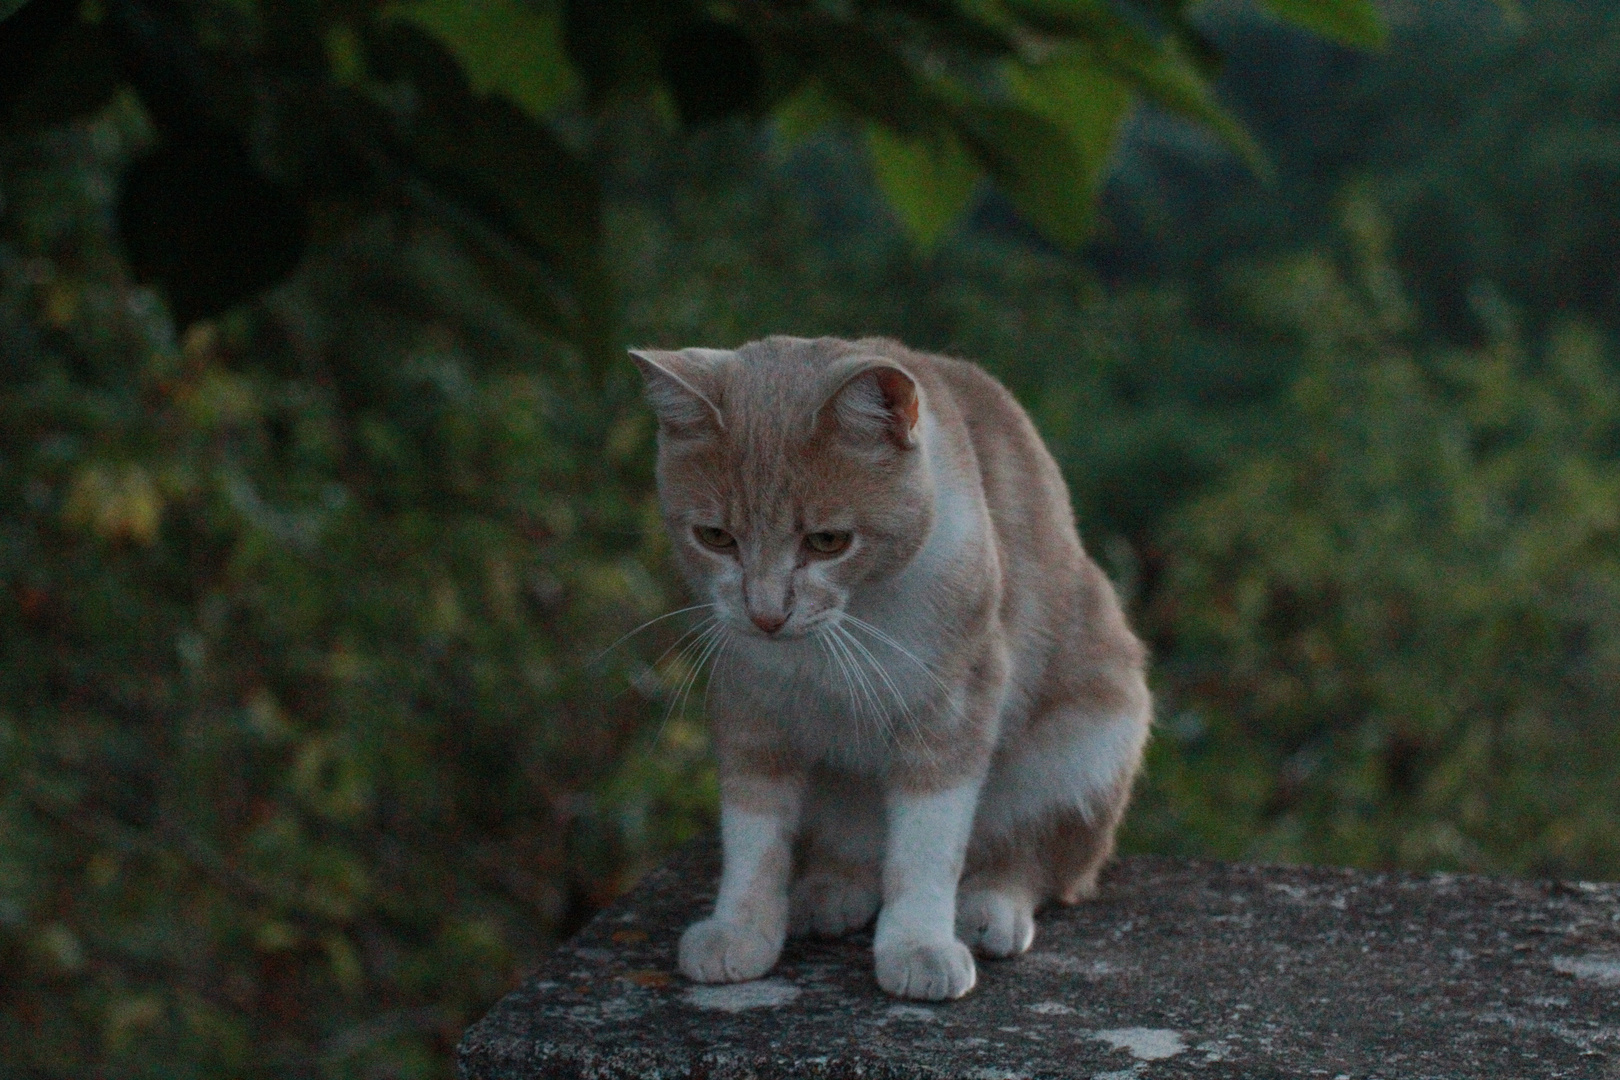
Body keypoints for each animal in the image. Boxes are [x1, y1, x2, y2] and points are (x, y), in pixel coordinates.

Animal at [625, 333, 1146, 1003]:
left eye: (827, 542)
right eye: (715, 536)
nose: (767, 615)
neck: (841, 629)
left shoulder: (954, 706)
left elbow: (925, 847)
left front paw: (918, 946)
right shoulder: (750, 710)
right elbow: (754, 836)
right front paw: (739, 929)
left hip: (1093, 737)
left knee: (1042, 855)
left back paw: (992, 904)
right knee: (854, 851)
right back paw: (829, 891)